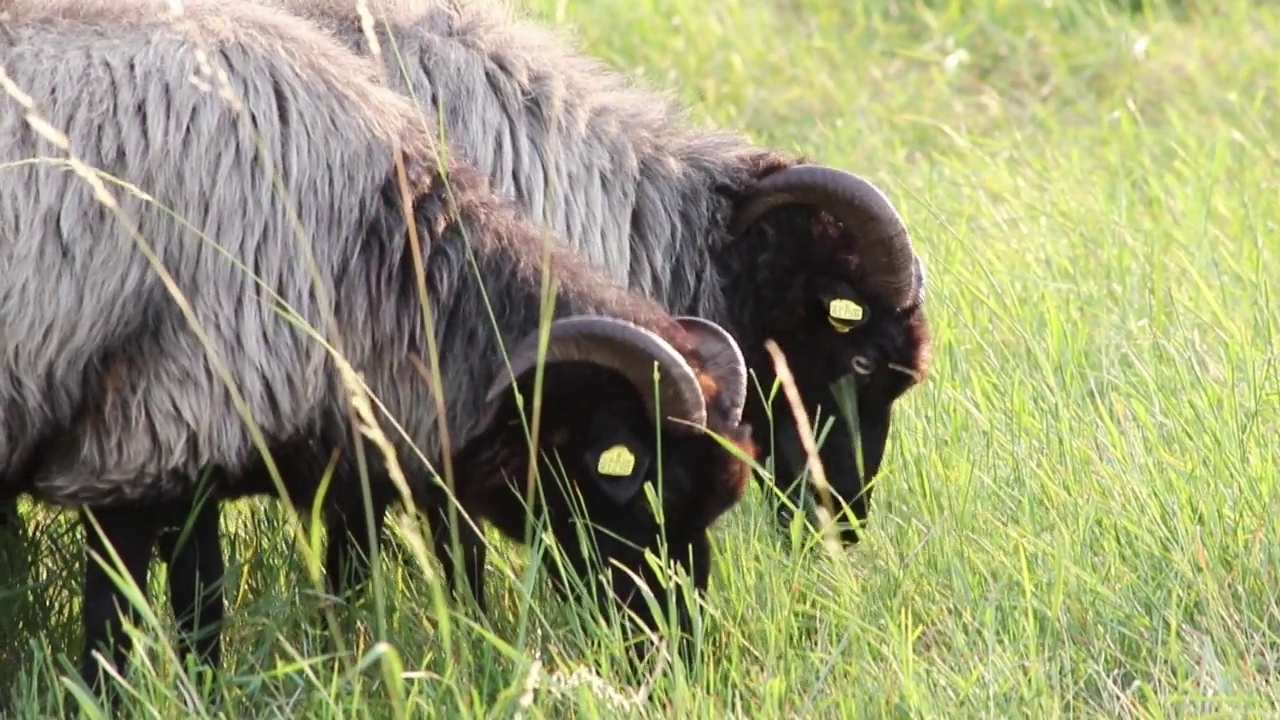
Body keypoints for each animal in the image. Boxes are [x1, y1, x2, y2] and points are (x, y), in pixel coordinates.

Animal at [0, 0, 752, 691]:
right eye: (645, 485)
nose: (681, 661)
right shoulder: (142, 435)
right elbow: (118, 621)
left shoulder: (195, 445)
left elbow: (201, 603)